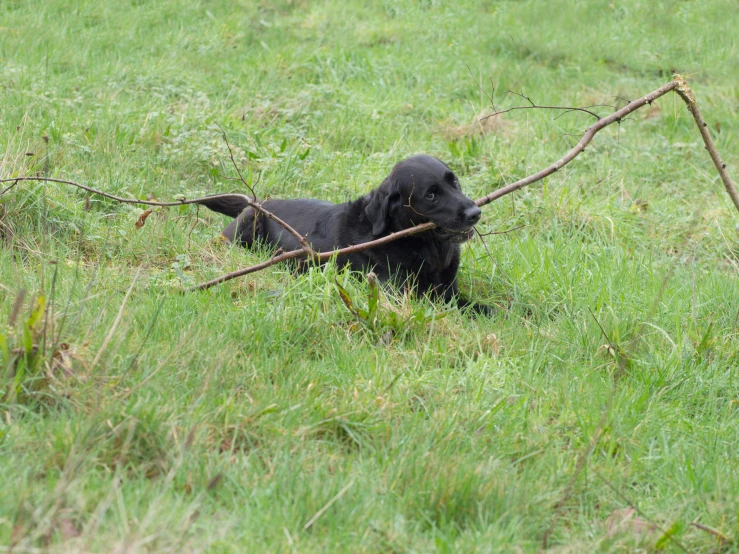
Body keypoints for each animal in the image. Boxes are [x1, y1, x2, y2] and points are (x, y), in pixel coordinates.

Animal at [199, 153, 494, 312]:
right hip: (248, 227)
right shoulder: (404, 296)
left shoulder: (449, 294)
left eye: (455, 183)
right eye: (431, 195)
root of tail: (256, 203)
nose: (475, 213)